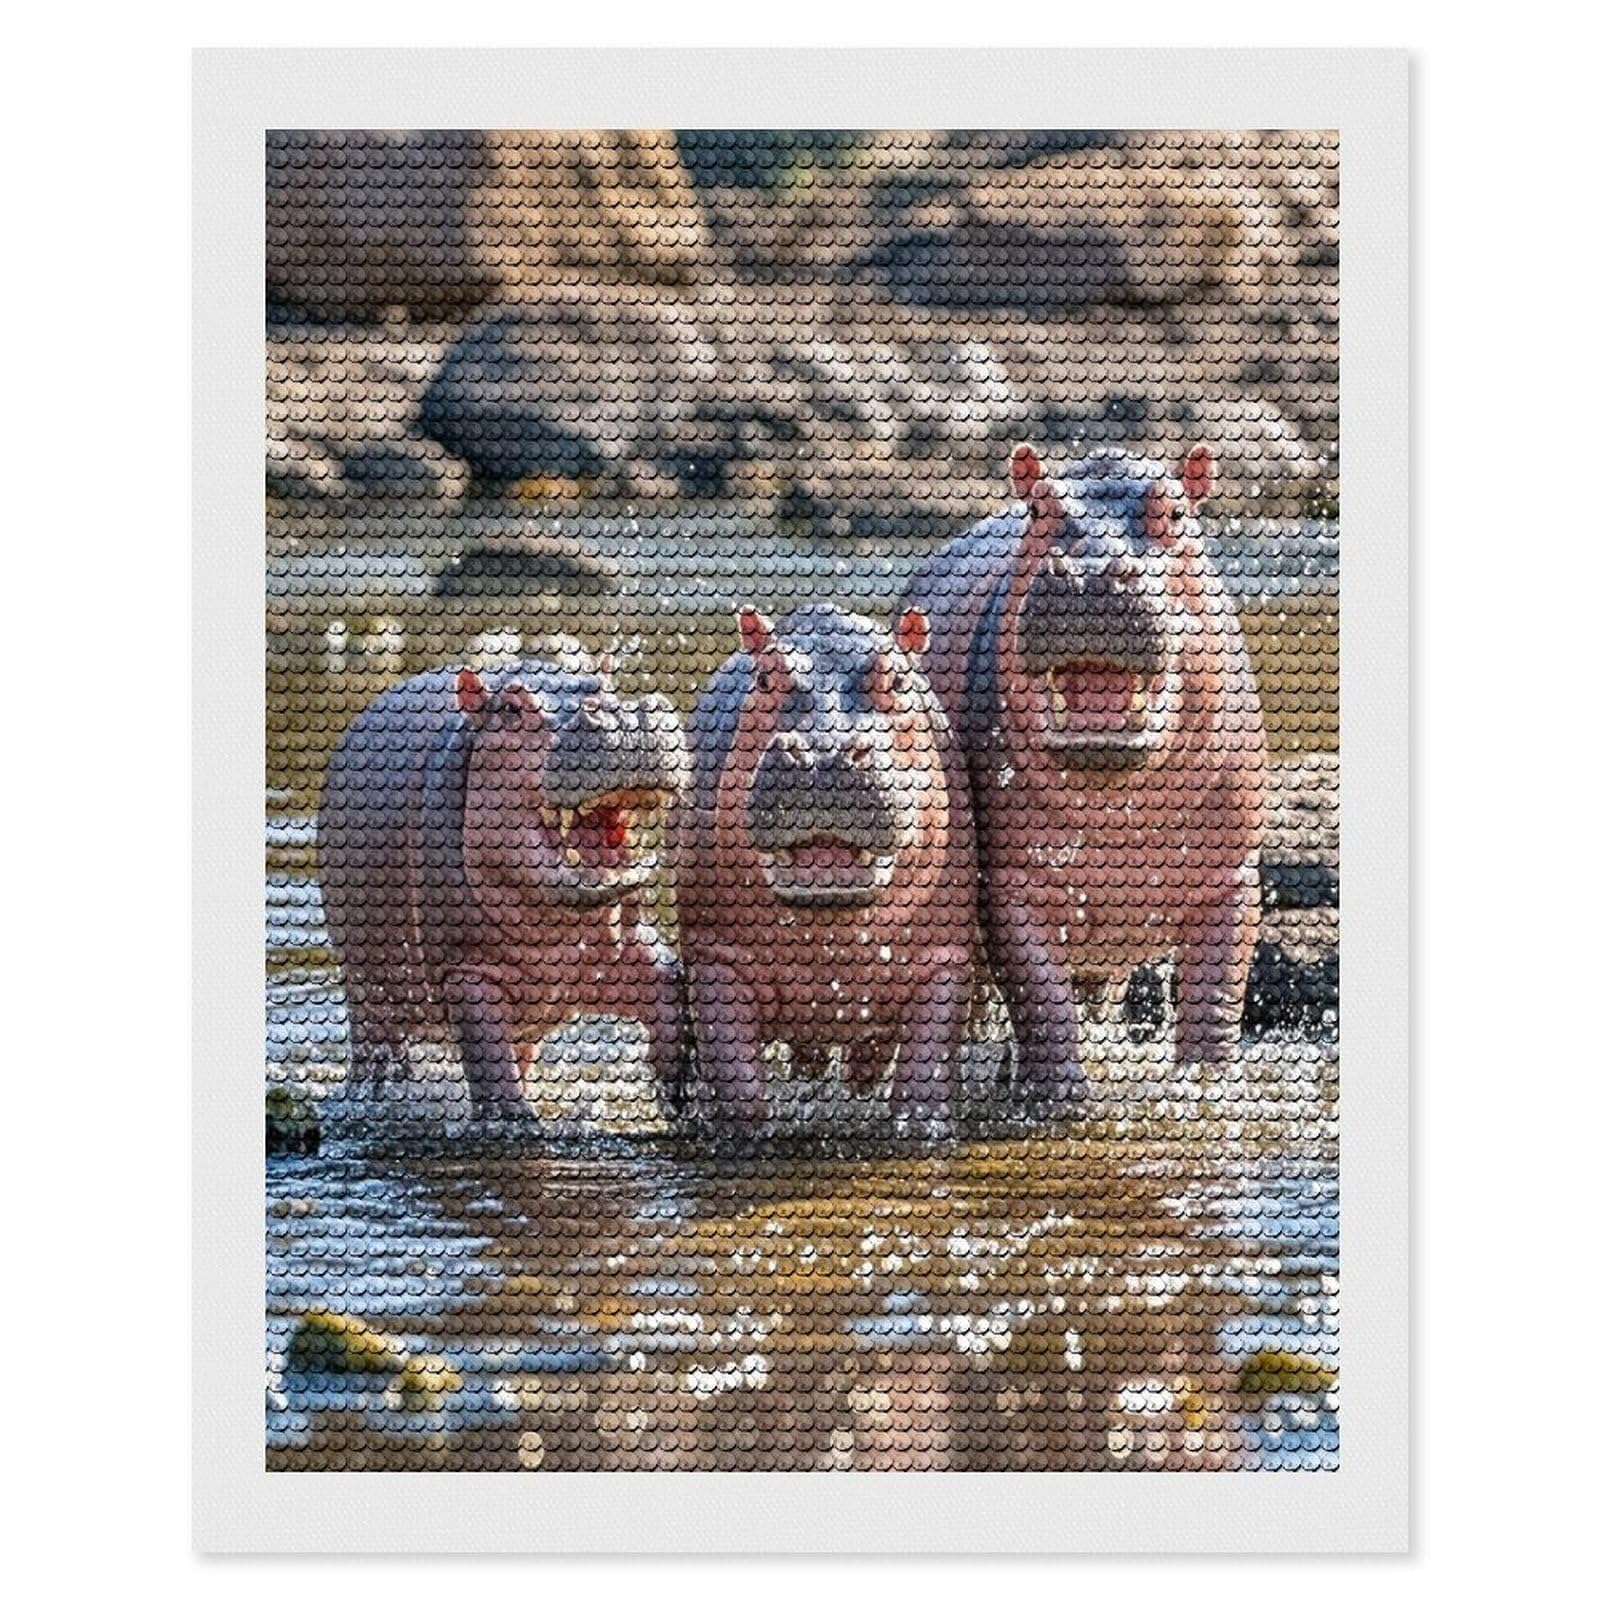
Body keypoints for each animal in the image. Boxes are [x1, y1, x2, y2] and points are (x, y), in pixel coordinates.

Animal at [317, 653, 690, 1122]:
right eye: (512, 709)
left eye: (605, 685)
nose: (623, 716)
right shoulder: (465, 970)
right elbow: (489, 1060)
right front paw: (518, 1121)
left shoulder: (619, 951)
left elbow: (667, 982)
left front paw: (679, 1092)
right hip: (367, 987)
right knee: (376, 1042)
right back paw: (377, 1093)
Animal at [673, 604, 980, 1133]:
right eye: (766, 676)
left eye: (897, 678)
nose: (824, 752)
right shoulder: (714, 953)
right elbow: (737, 1081)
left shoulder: (946, 957)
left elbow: (923, 1074)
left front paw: (920, 1126)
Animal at [900, 444, 1267, 1108]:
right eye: (1038, 507)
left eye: (1175, 511)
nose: (1092, 574)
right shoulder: (1009, 884)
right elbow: (1037, 989)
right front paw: (1059, 1098)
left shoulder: (1232, 877)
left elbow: (1217, 983)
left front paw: (1206, 1086)